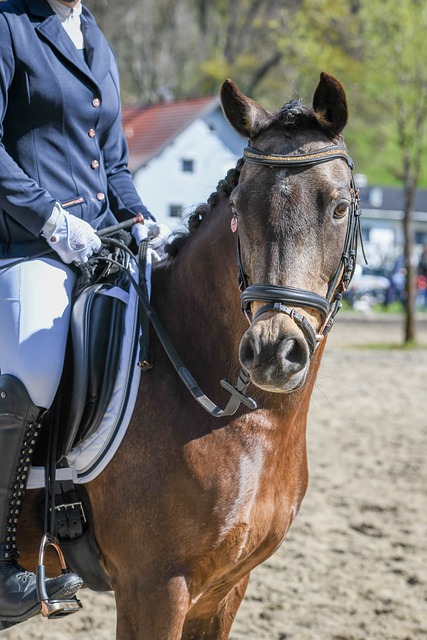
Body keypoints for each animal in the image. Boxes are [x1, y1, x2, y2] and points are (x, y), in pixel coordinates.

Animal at [18, 72, 361, 639]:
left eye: (337, 207)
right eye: (239, 209)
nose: (273, 352)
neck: (248, 417)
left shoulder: (224, 589)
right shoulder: (155, 588)